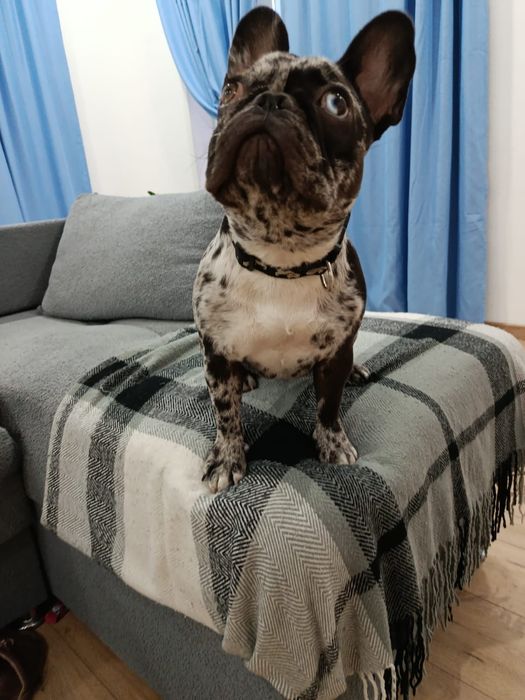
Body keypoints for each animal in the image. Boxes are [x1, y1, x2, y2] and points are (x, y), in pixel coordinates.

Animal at [193, 7, 415, 493]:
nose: (269, 101)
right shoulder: (215, 352)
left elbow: (328, 407)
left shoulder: (333, 356)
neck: (280, 260)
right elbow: (226, 415)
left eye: (336, 103)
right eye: (231, 89)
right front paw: (226, 459)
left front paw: (333, 446)